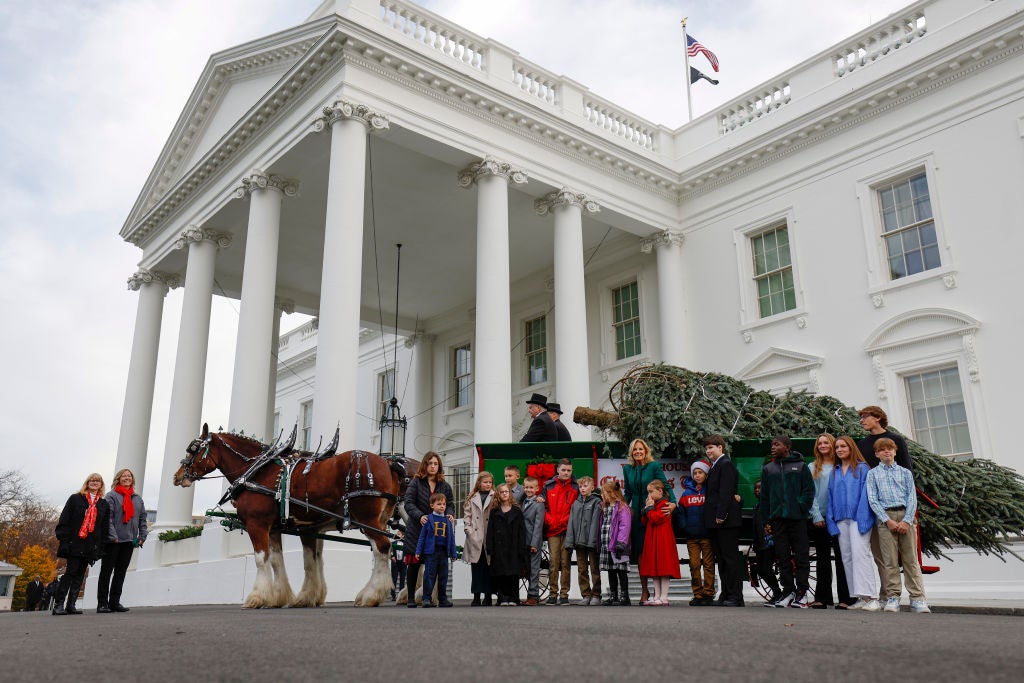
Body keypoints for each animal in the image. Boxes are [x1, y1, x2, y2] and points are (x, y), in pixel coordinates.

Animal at [174, 421, 401, 610]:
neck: (258, 472)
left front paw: (257, 597)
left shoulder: (257, 524)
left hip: (366, 519)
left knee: (382, 548)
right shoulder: (279, 528)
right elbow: (282, 560)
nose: (176, 477)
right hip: (379, 520)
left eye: (193, 449)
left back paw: (371, 595)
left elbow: (261, 559)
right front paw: (282, 597)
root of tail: (387, 463)